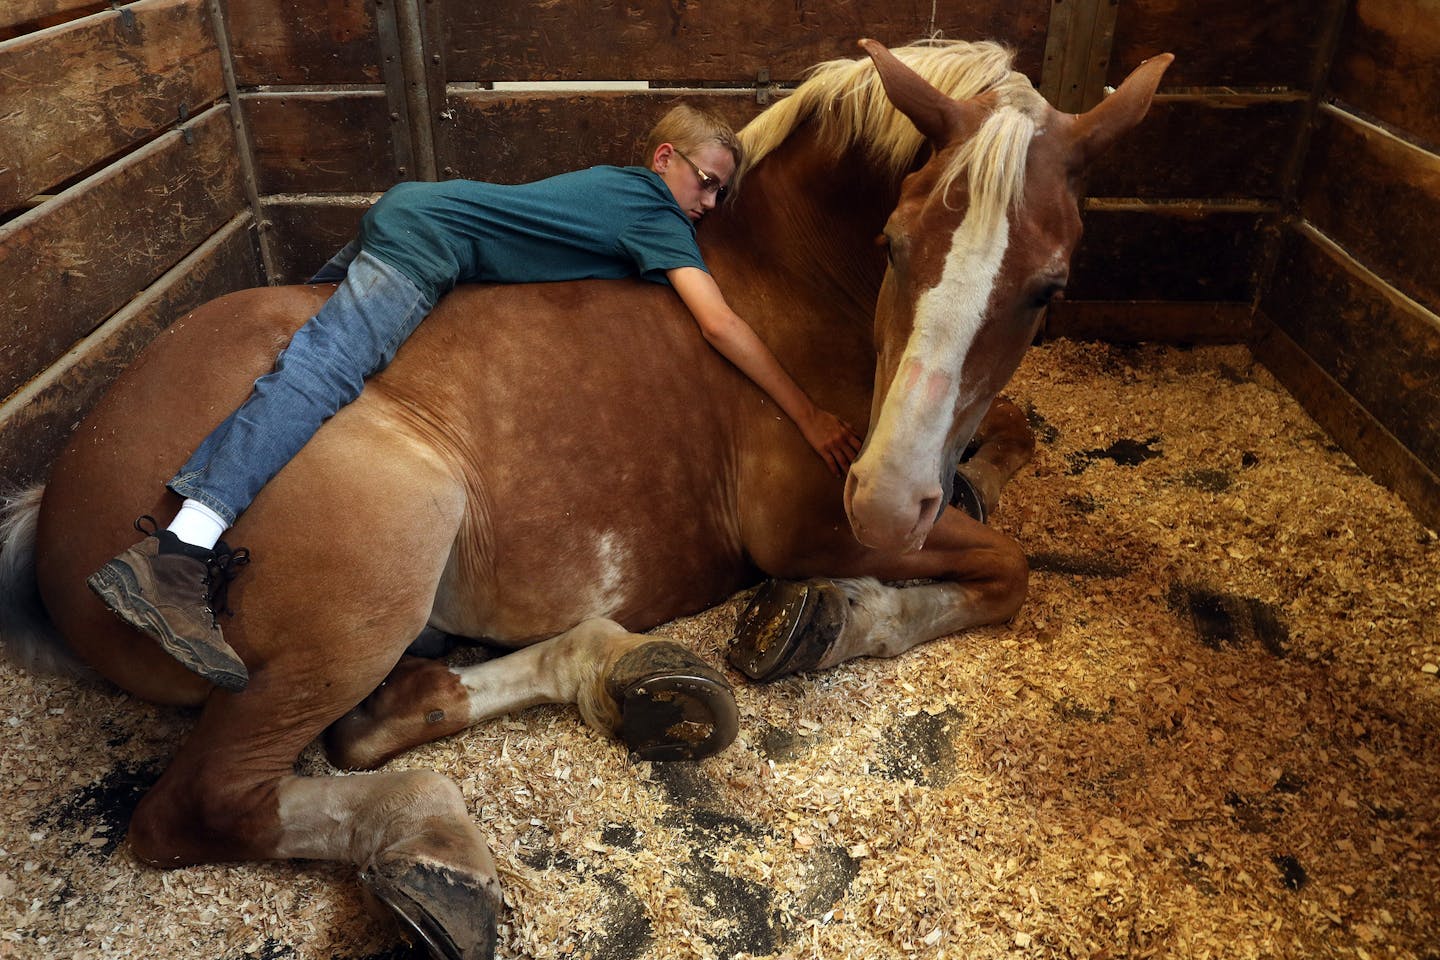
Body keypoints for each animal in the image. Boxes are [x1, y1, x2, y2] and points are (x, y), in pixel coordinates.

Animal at [0, 39, 1169, 960]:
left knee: (386, 719)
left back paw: (631, 684)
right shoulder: (805, 521)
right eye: (893, 243)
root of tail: (60, 516)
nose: (885, 501)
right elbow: (1005, 569)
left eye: (1049, 288)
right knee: (206, 801)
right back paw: (438, 858)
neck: (776, 277)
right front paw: (827, 617)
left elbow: (1013, 441)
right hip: (389, 549)